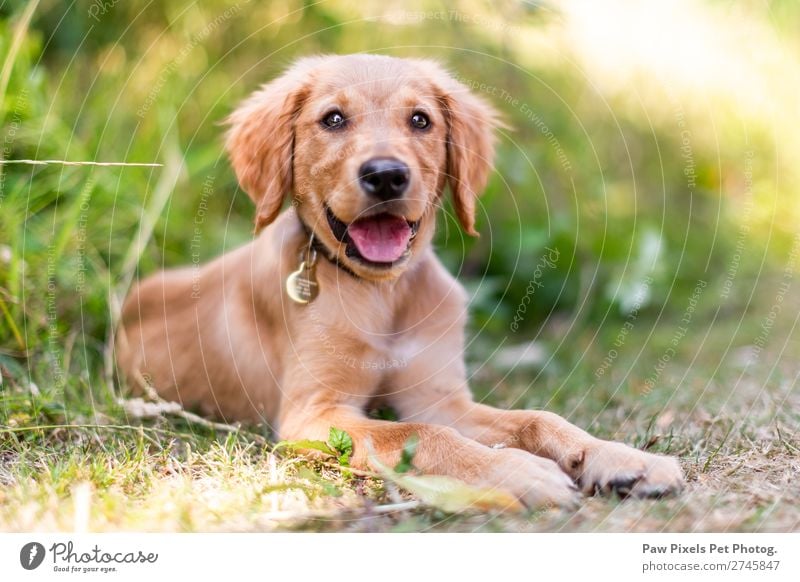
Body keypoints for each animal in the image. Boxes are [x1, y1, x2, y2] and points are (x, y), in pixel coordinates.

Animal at [115, 54, 684, 512]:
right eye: (333, 119)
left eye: (420, 119)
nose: (386, 175)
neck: (381, 292)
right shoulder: (314, 414)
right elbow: (423, 433)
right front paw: (519, 471)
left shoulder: (440, 397)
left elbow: (537, 418)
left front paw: (621, 458)